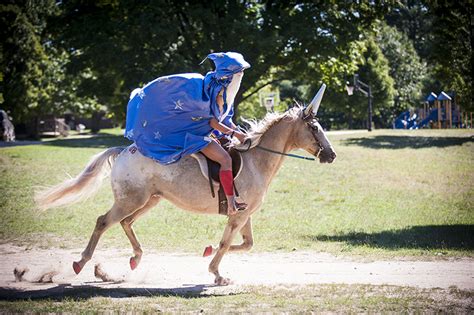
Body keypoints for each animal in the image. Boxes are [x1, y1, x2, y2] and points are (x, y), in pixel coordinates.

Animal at [35, 84, 336, 286]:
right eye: (314, 128)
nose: (331, 155)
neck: (256, 159)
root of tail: (123, 151)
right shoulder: (238, 215)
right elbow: (226, 243)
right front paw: (217, 274)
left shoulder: (245, 214)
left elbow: (246, 244)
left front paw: (208, 253)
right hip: (130, 200)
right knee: (103, 222)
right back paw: (81, 263)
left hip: (149, 200)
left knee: (125, 223)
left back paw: (131, 260)